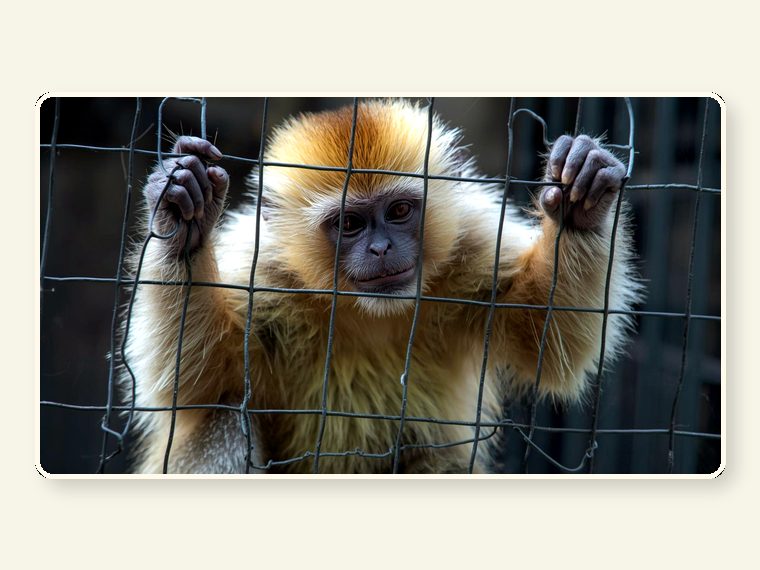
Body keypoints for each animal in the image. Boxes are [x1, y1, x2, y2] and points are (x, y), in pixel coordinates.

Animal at [123, 99, 641, 474]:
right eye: (350, 224)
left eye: (399, 212)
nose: (379, 248)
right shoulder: (260, 274)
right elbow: (194, 387)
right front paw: (181, 219)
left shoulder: (473, 244)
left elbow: (547, 345)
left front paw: (582, 205)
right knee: (228, 420)